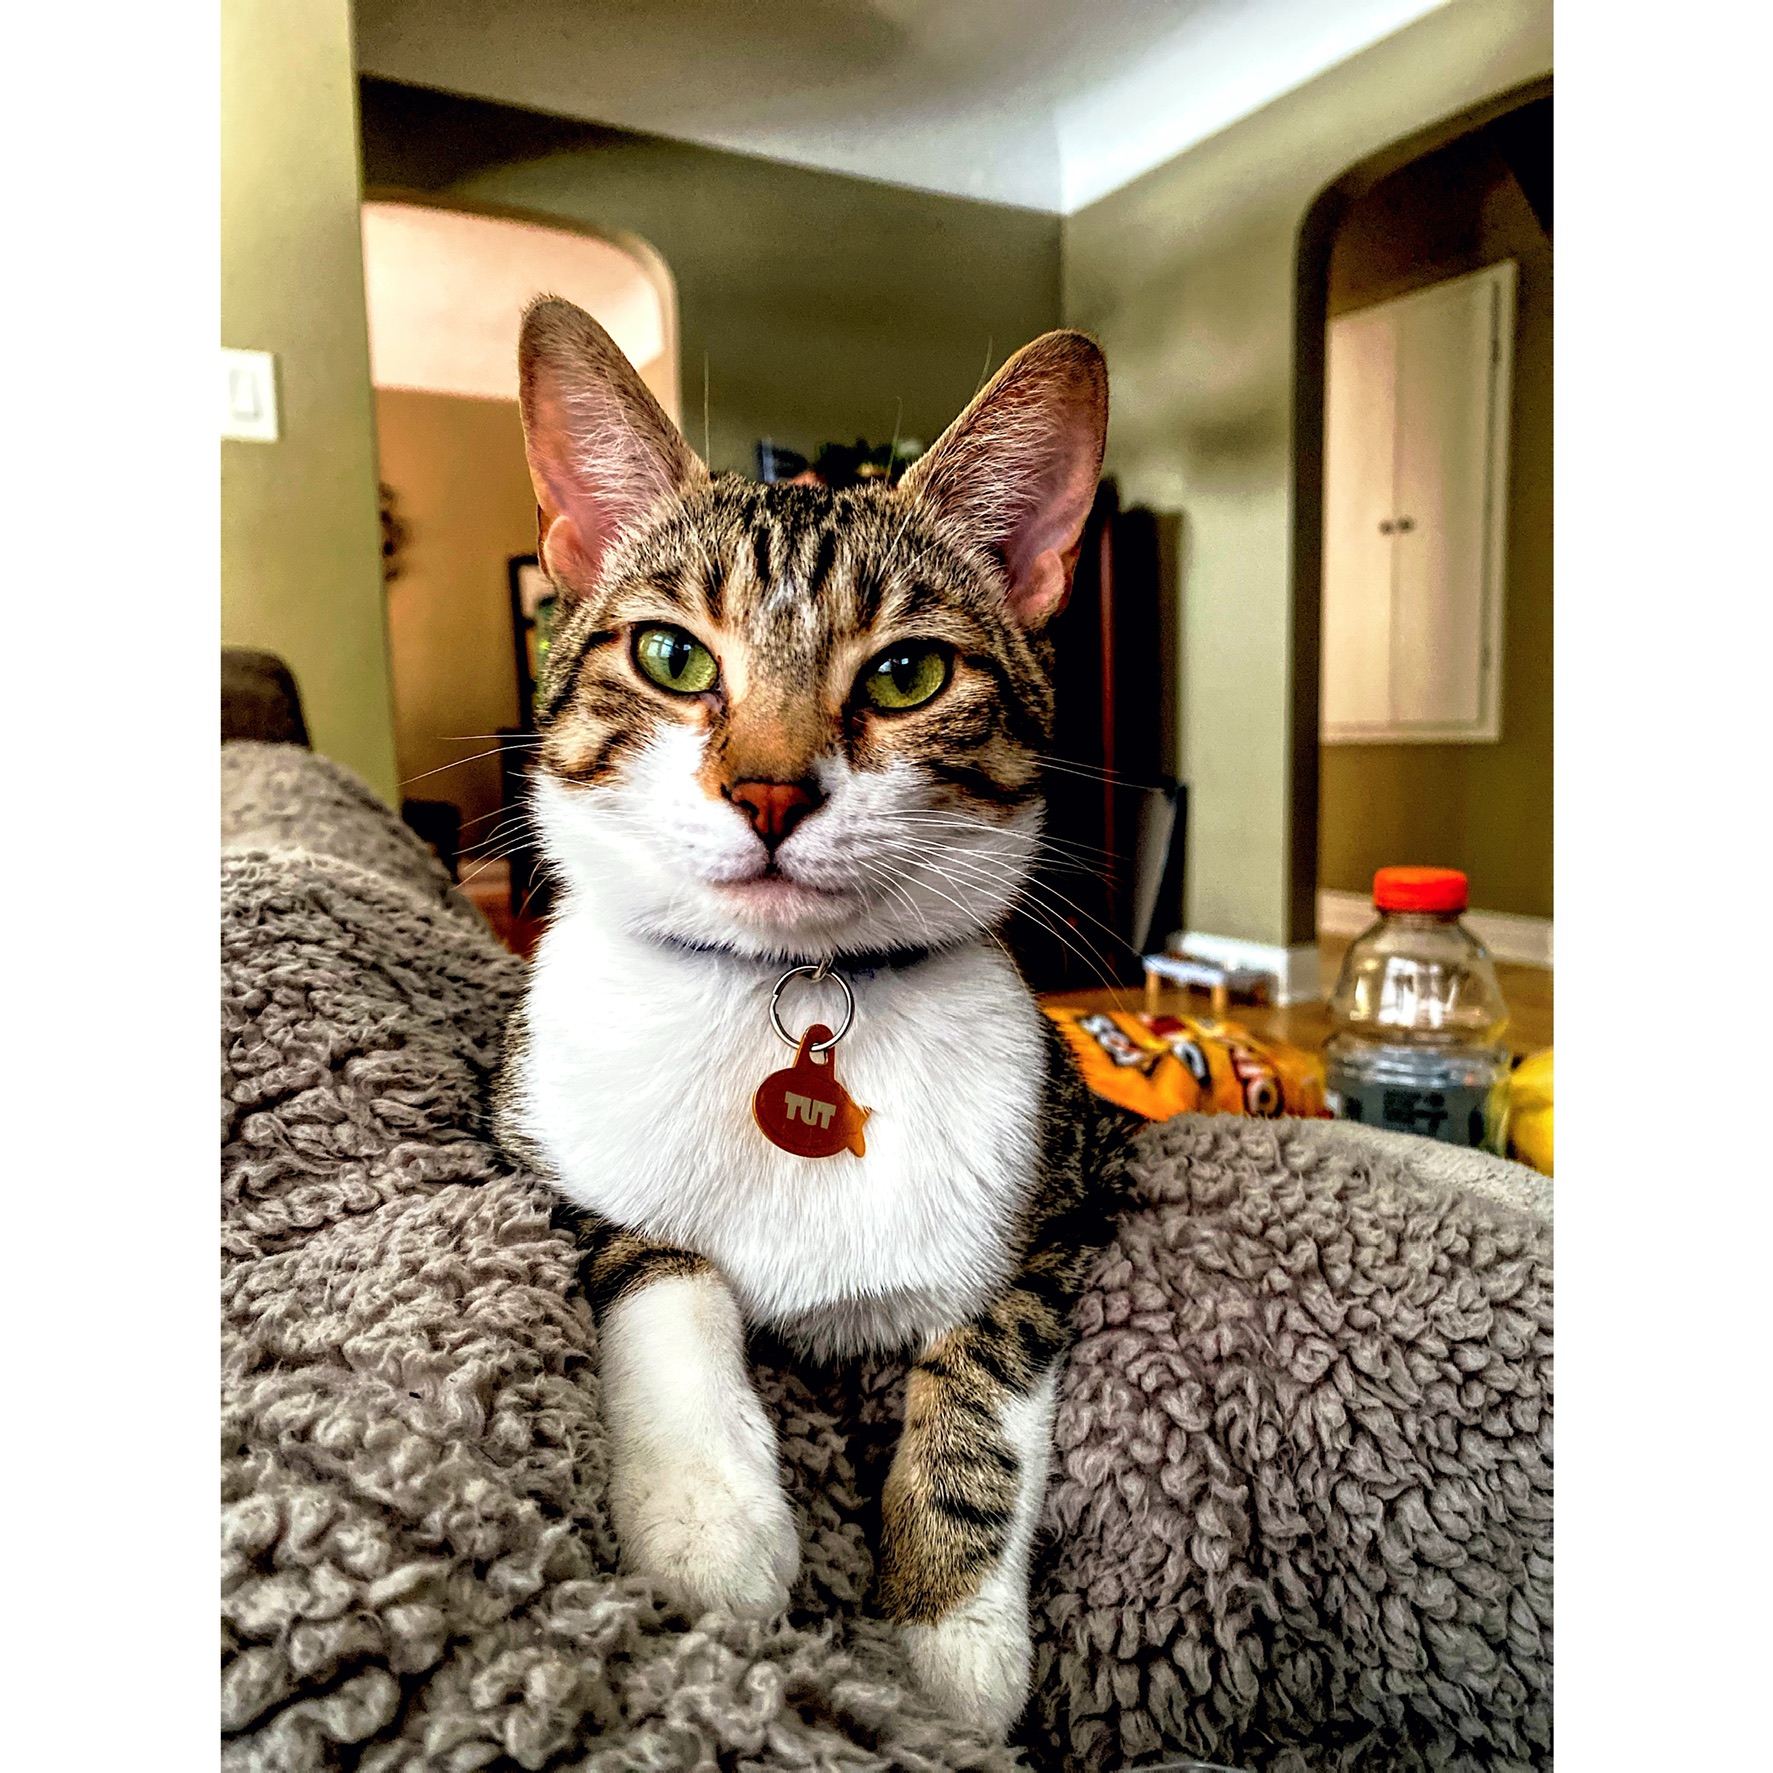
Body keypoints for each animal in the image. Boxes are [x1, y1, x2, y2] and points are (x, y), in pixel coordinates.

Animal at [494, 295, 1130, 1737]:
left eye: (905, 675)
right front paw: (710, 1519)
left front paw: (950, 1642)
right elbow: (660, 1263)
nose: (772, 789)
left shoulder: (1062, 1189)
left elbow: (977, 1386)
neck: (781, 988)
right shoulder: (531, 1144)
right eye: (671, 654)